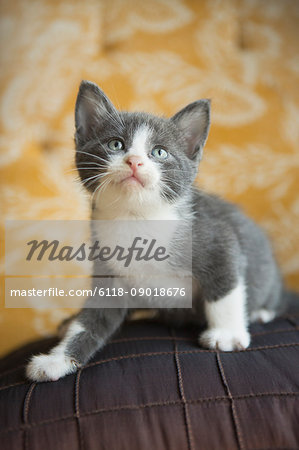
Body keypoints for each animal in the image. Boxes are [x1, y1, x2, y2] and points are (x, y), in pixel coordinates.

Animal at [26, 80, 286, 380]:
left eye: (159, 152)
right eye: (116, 144)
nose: (134, 161)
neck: (137, 219)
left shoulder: (217, 238)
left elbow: (225, 288)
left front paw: (227, 334)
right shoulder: (108, 270)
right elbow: (89, 322)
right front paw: (56, 360)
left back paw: (261, 312)